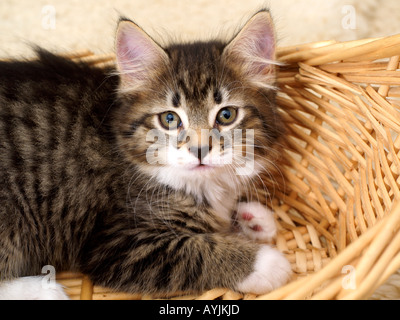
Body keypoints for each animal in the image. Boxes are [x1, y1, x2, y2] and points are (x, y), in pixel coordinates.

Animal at [0, 10, 290, 300]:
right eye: (170, 119)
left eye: (226, 115)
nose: (199, 150)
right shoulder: (118, 246)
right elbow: (194, 252)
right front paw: (267, 264)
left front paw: (252, 219)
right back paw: (45, 290)